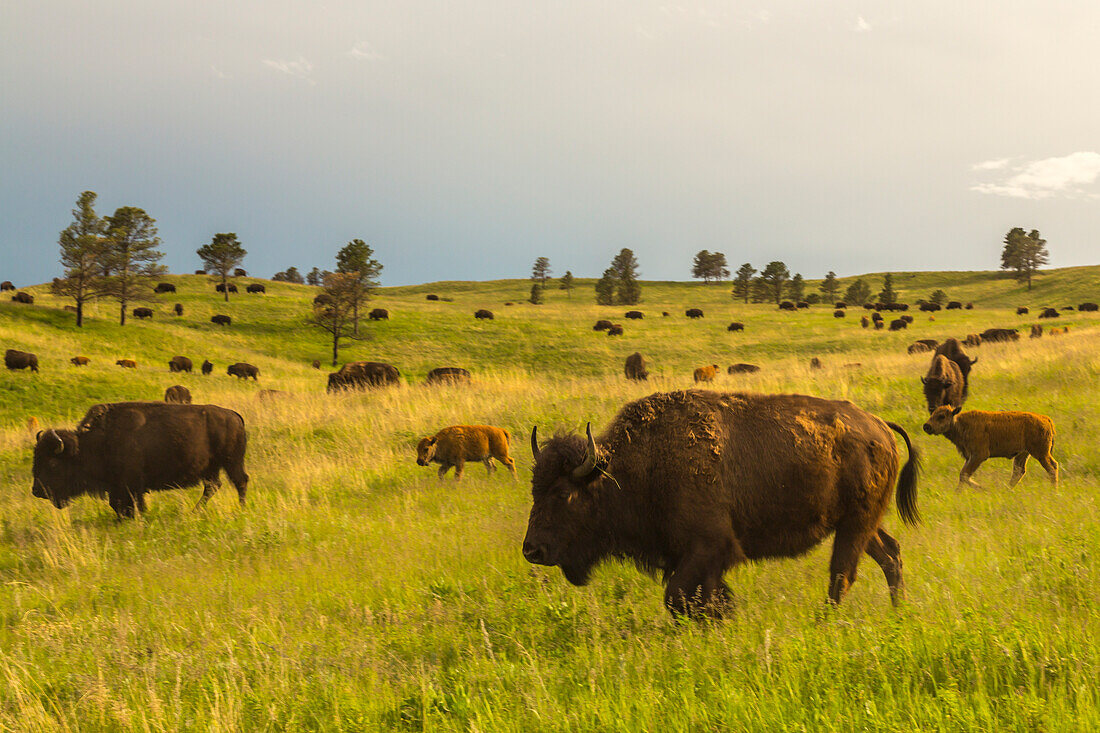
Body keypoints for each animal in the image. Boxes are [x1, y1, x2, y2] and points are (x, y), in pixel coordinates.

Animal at [31, 402, 250, 517]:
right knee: (213, 486)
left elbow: (134, 505)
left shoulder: (132, 485)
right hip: (211, 468)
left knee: (240, 481)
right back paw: (194, 512)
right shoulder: (118, 487)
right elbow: (118, 505)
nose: (36, 491)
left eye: (52, 463)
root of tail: (235, 416)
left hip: (231, 462)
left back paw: (241, 509)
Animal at [523, 391, 919, 611]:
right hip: (860, 523)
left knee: (843, 574)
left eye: (563, 494)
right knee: (890, 554)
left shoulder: (709, 547)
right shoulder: (691, 556)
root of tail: (880, 425)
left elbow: (678, 596)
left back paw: (826, 622)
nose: (532, 550)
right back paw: (898, 613)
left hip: (855, 524)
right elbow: (701, 596)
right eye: (534, 489)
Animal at [924, 402, 1060, 488]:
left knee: (1052, 468)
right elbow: (963, 474)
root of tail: (1046, 419)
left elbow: (964, 474)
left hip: (1040, 453)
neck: (961, 423)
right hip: (1023, 453)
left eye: (941, 416)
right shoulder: (969, 457)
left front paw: (981, 488)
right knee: (1019, 472)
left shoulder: (979, 455)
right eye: (932, 414)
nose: (926, 426)